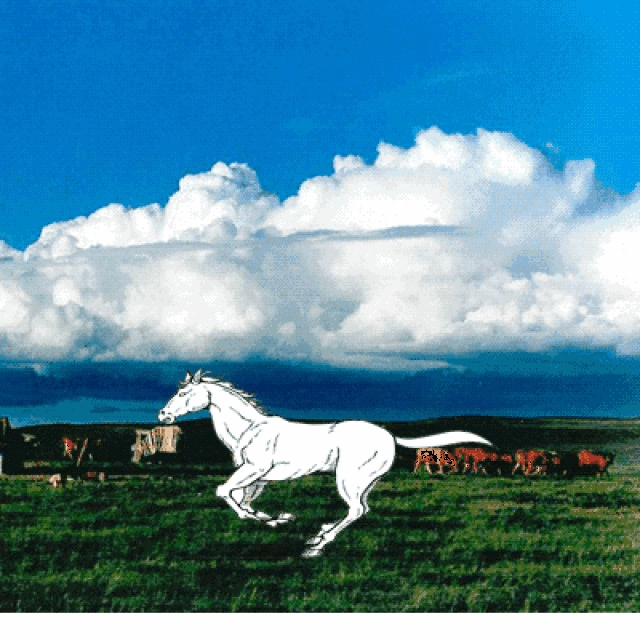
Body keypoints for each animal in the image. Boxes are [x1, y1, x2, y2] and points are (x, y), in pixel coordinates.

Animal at [158, 369, 492, 557]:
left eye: (184, 392)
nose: (163, 415)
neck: (248, 429)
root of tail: (389, 435)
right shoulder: (257, 476)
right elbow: (242, 497)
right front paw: (275, 518)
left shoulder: (255, 470)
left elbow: (225, 493)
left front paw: (266, 519)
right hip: (364, 482)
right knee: (361, 509)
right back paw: (320, 532)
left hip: (348, 478)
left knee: (356, 510)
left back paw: (316, 545)